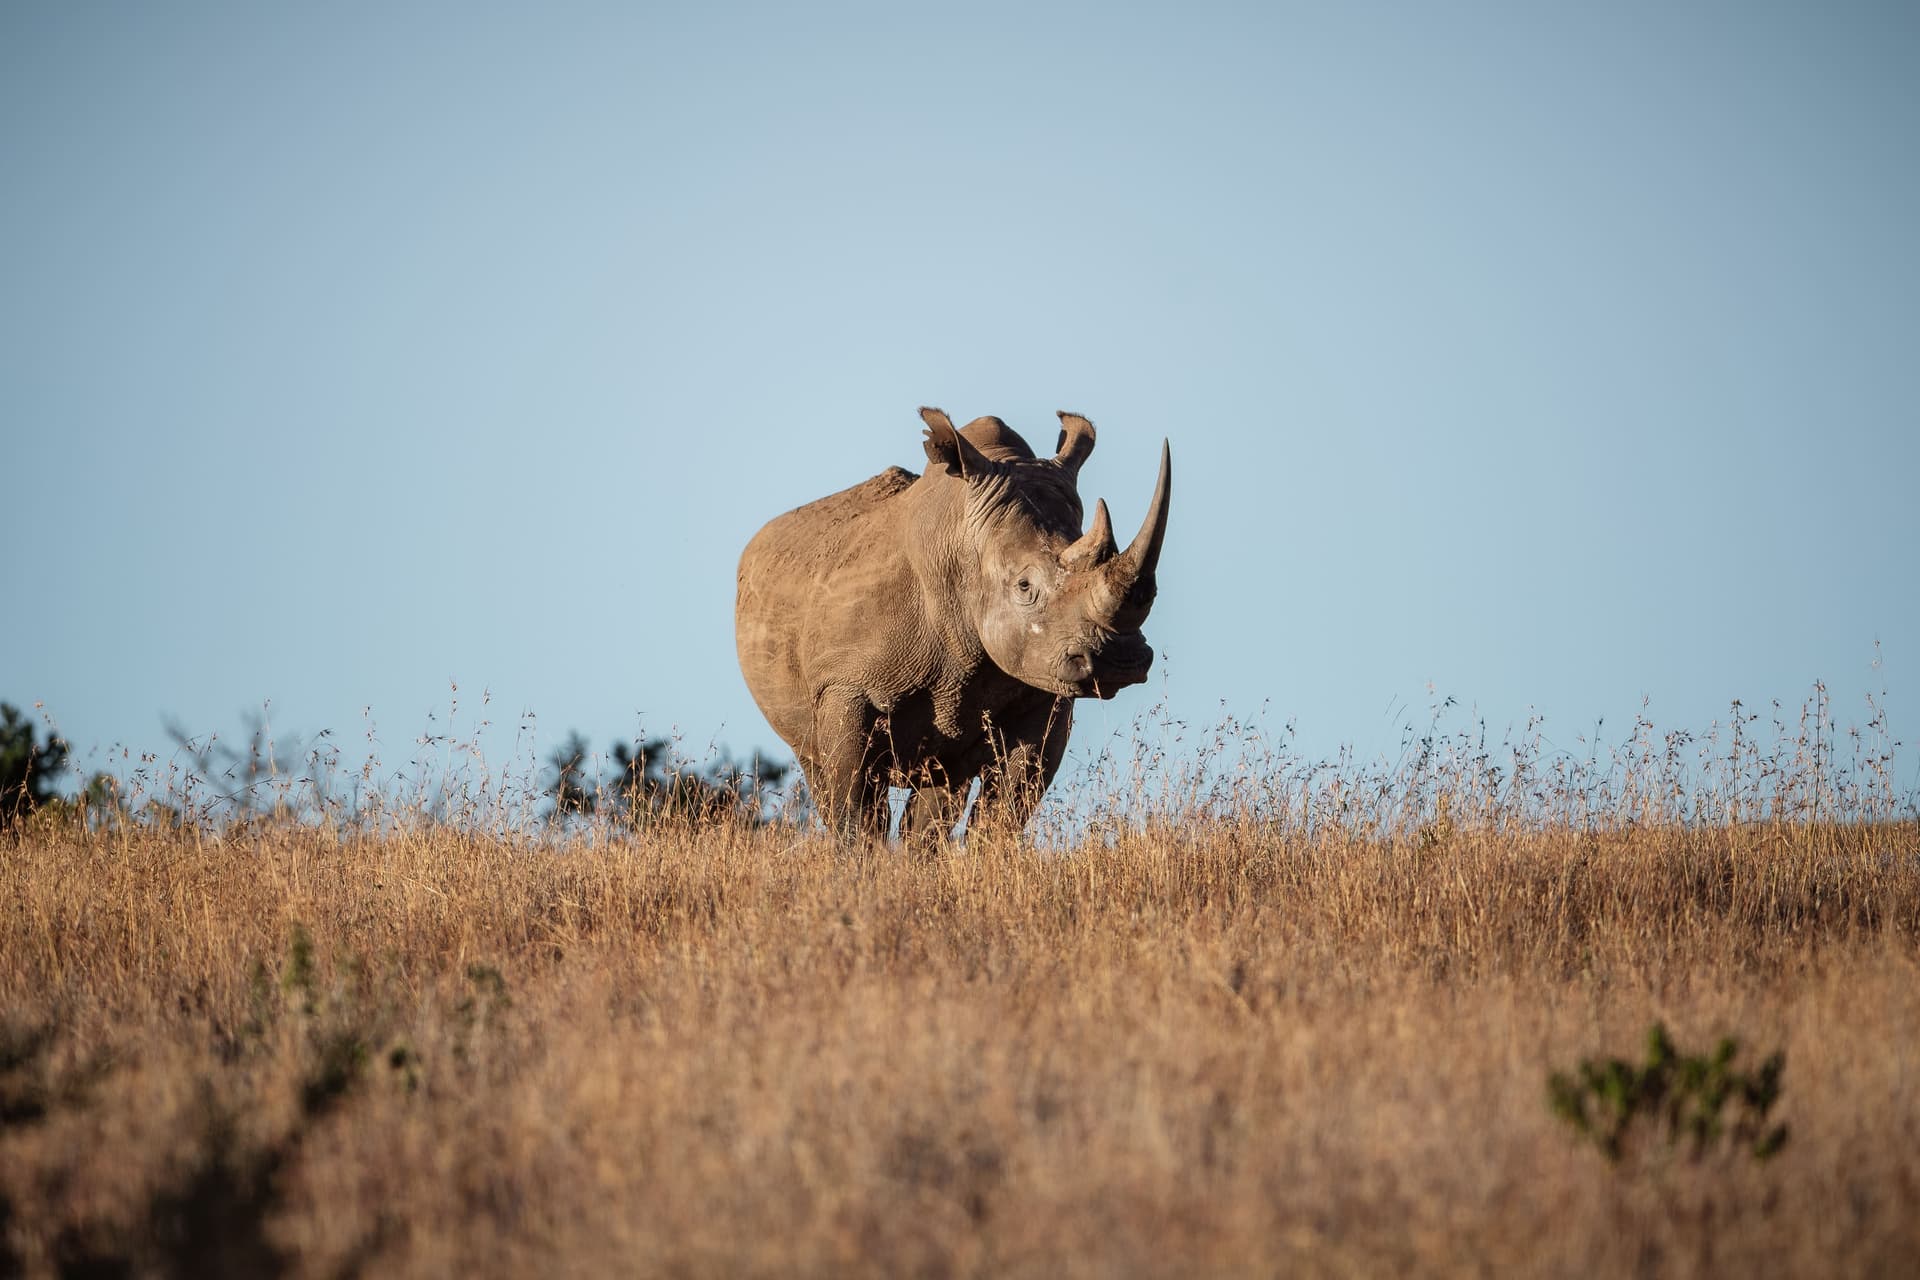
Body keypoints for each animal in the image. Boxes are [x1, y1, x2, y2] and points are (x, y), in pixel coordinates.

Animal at [734, 407, 1170, 839]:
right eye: (1024, 585)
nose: (1120, 662)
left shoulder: (1044, 693)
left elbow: (1006, 809)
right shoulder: (844, 686)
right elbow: (856, 812)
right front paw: (861, 855)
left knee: (942, 787)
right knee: (820, 771)